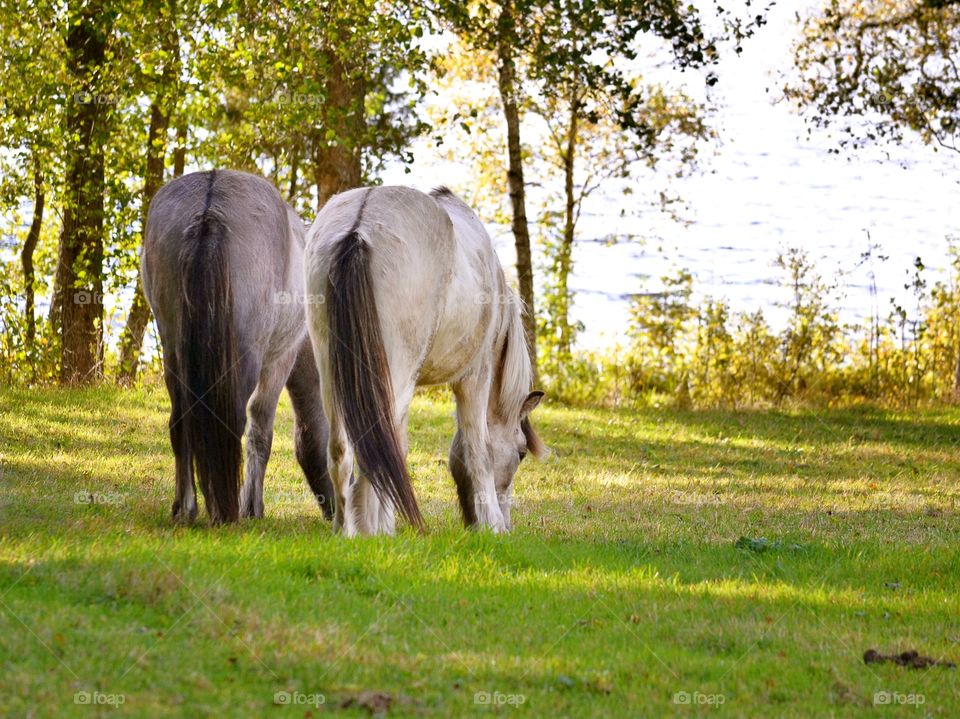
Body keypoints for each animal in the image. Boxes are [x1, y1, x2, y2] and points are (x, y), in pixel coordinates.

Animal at [142, 169, 334, 524]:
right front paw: (252, 508)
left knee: (179, 422)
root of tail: (210, 205)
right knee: (233, 419)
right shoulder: (280, 359)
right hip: (245, 358)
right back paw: (225, 512)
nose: (334, 510)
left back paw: (185, 508)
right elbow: (261, 430)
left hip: (173, 351)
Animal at [304, 185, 545, 536]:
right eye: (522, 452)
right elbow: (480, 451)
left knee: (341, 448)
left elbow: (401, 447)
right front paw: (493, 526)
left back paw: (346, 531)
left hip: (332, 373)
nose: (505, 524)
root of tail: (358, 227)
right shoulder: (475, 377)